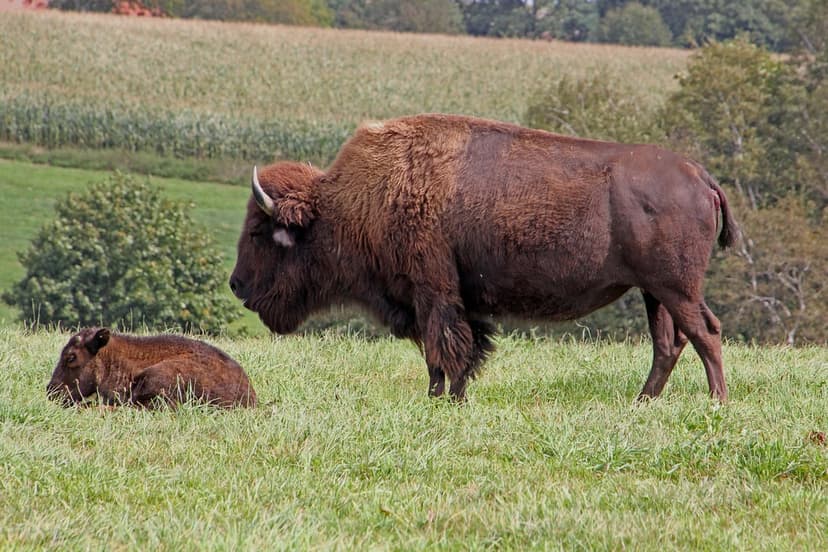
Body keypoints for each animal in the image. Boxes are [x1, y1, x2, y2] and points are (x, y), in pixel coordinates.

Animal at [229, 114, 738, 402]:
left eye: (258, 231)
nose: (236, 284)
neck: (359, 198)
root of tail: (700, 175)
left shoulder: (432, 291)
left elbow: (443, 348)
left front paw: (440, 400)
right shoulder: (452, 300)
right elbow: (464, 347)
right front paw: (449, 397)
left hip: (675, 287)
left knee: (705, 332)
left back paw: (716, 402)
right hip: (655, 292)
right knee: (669, 343)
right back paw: (642, 403)